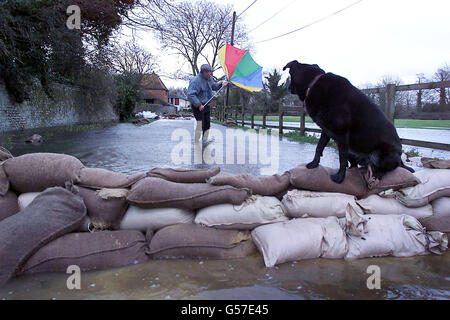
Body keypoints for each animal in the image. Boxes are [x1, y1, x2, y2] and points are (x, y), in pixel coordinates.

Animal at [284, 59, 414, 182]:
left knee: (388, 168)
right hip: (353, 152)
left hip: (379, 155)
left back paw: (378, 174)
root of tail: (400, 157)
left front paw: (339, 178)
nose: (288, 87)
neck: (314, 82)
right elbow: (319, 147)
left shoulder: (341, 134)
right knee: (356, 166)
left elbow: (341, 158)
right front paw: (314, 164)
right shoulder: (326, 131)